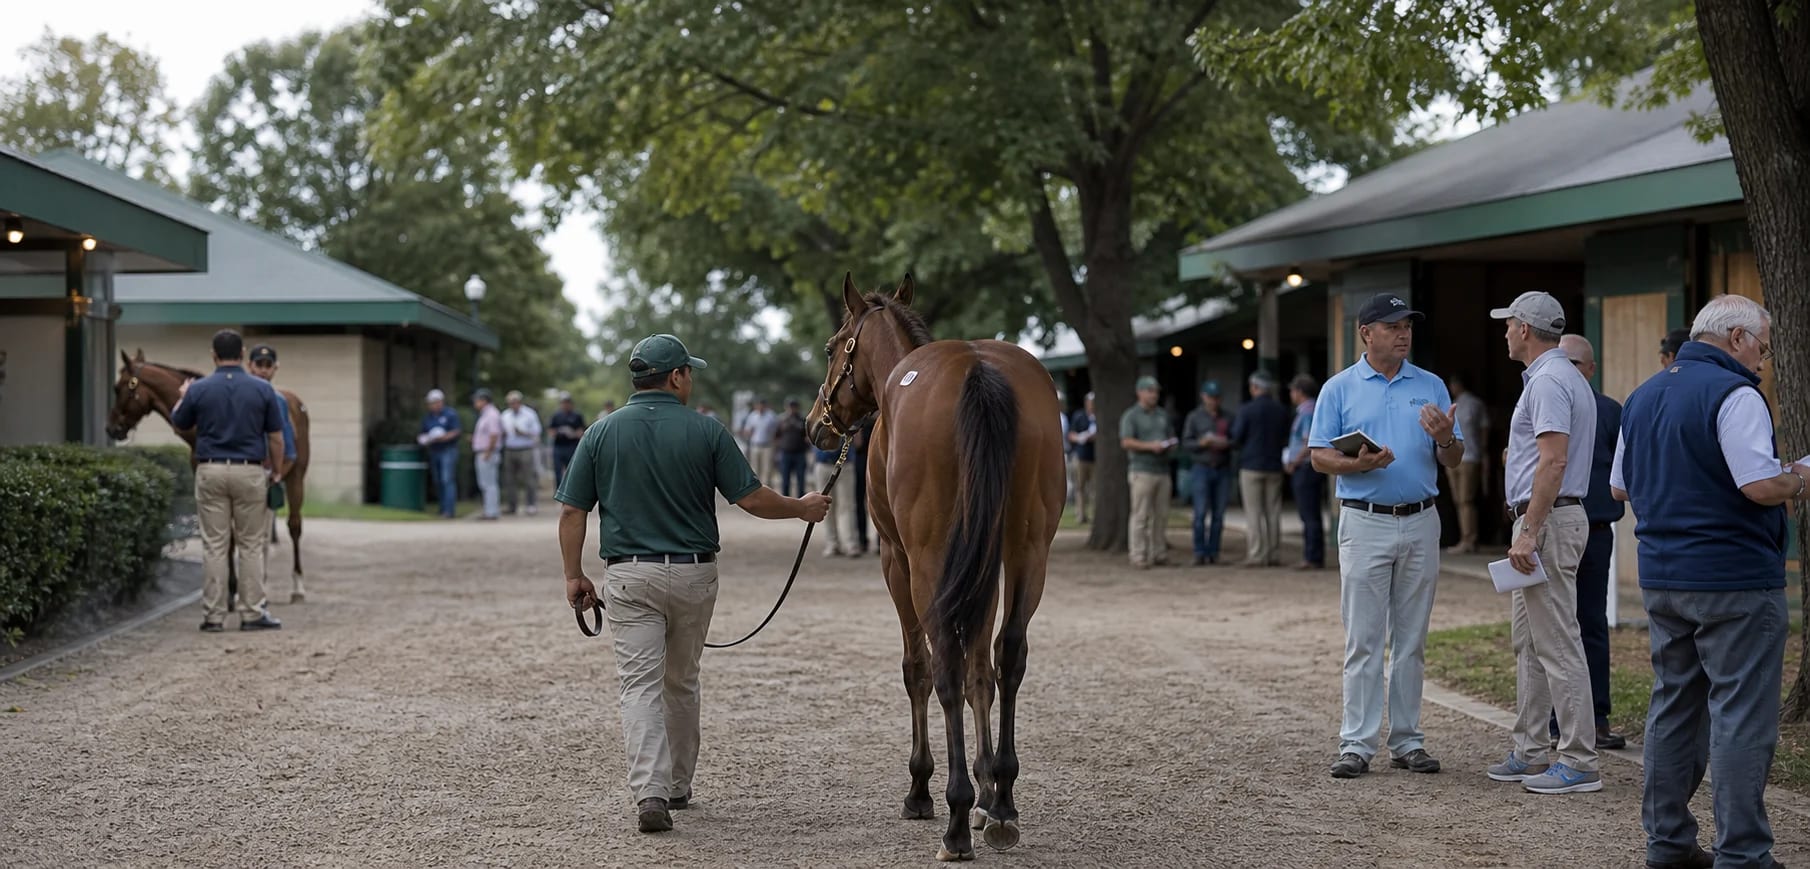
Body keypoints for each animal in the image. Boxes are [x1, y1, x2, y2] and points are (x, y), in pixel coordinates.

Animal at [807, 274, 1064, 862]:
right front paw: (989, 790)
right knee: (1008, 655)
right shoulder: (986, 563)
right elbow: (981, 674)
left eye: (832, 348)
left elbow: (918, 669)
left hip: (927, 559)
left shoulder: (896, 558)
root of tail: (978, 370)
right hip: (1027, 550)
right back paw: (1002, 805)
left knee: (942, 664)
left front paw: (925, 789)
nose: (815, 425)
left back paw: (954, 819)